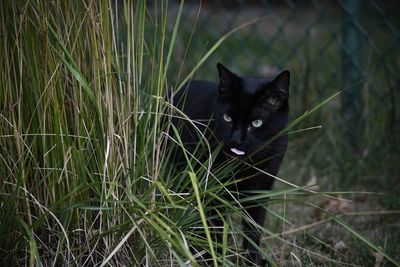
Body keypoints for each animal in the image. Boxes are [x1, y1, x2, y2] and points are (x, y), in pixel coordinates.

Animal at [170, 62, 290, 266]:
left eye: (256, 123)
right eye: (227, 118)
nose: (236, 140)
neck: (244, 166)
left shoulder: (260, 190)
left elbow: (254, 227)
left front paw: (252, 259)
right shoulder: (213, 190)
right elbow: (216, 228)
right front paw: (216, 258)